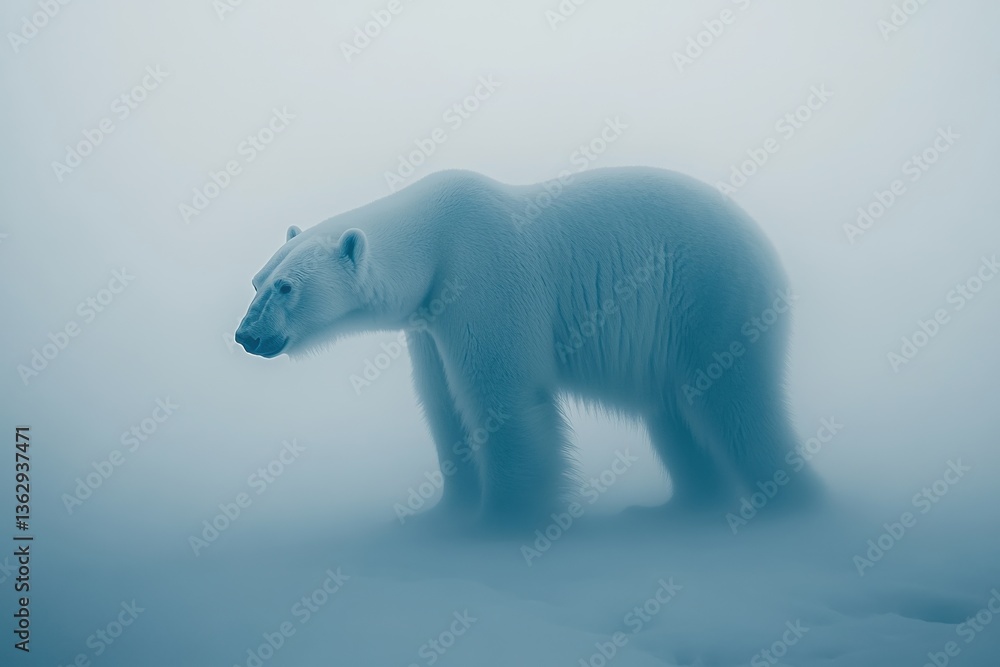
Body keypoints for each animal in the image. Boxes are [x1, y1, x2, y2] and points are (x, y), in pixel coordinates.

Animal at [235, 167, 821, 525]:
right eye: (257, 280)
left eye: (286, 287)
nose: (246, 335)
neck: (435, 240)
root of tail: (768, 253)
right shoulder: (429, 321)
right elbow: (442, 405)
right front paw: (446, 514)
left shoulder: (484, 278)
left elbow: (503, 399)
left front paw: (505, 519)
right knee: (674, 417)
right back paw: (681, 507)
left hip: (712, 300)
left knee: (736, 407)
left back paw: (793, 508)